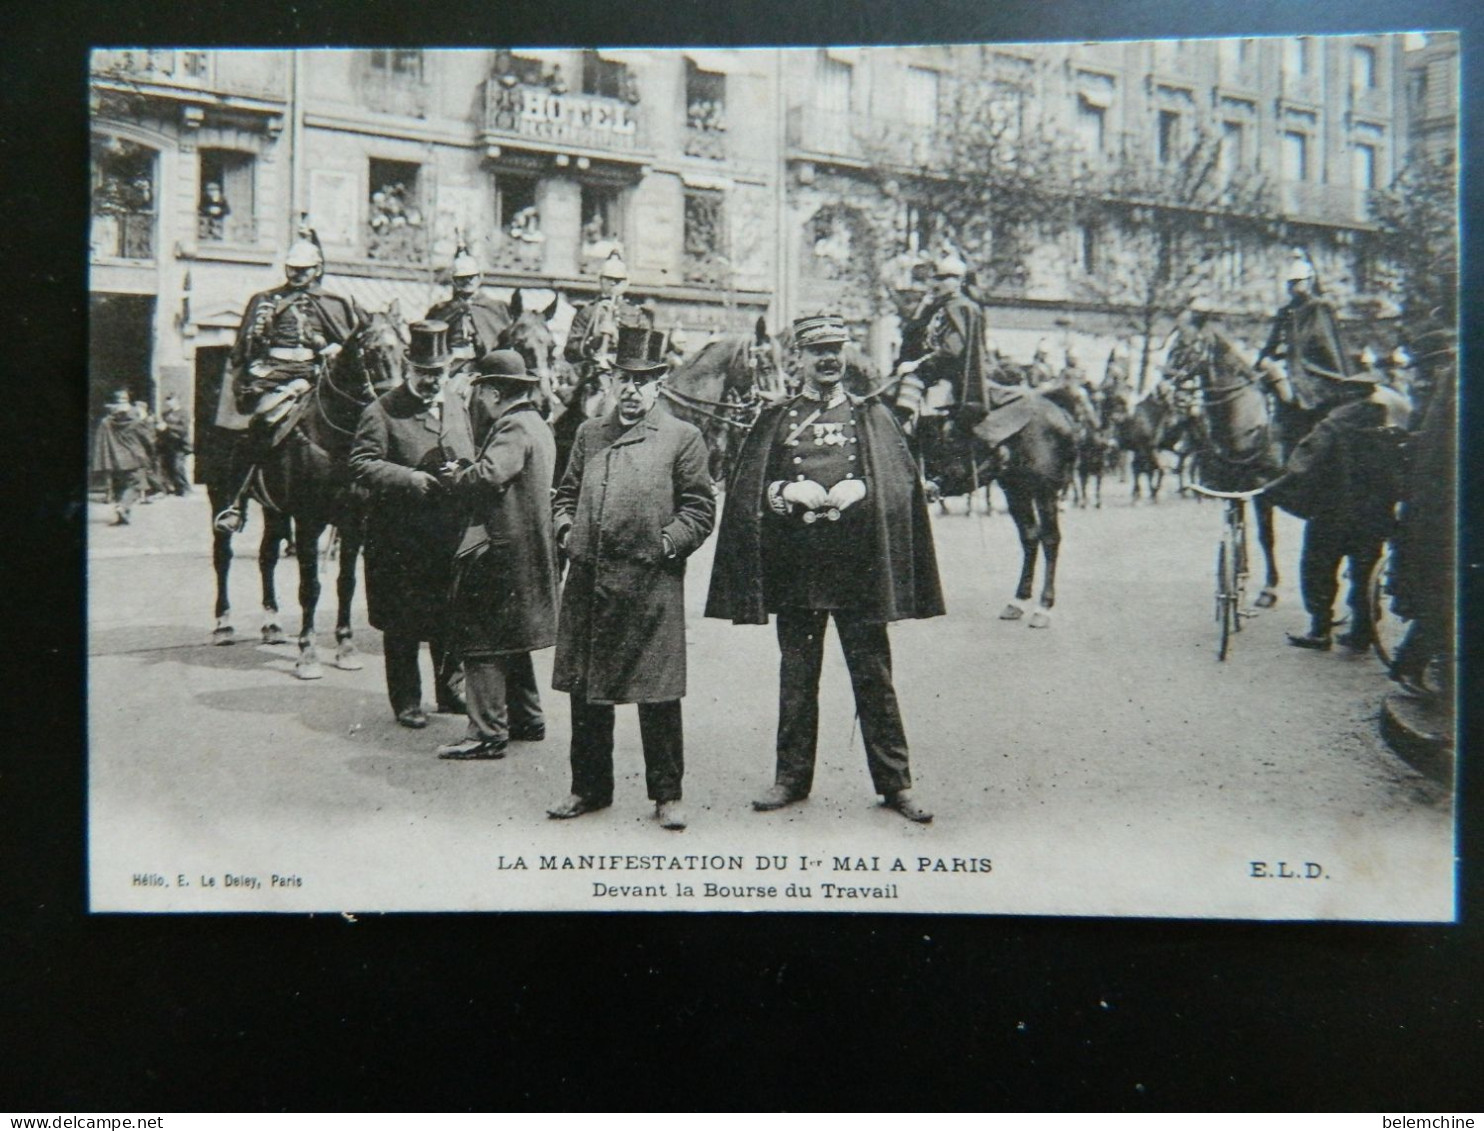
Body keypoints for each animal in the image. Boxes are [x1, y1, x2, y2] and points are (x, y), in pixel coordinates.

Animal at [206, 299, 406, 679]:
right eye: (373, 349)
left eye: (406, 349)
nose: (395, 403)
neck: (340, 438)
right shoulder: (309, 521)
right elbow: (310, 588)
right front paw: (308, 654)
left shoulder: (354, 522)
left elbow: (346, 584)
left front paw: (345, 648)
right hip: (220, 495)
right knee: (222, 557)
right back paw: (223, 625)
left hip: (274, 509)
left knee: (267, 557)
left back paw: (271, 624)